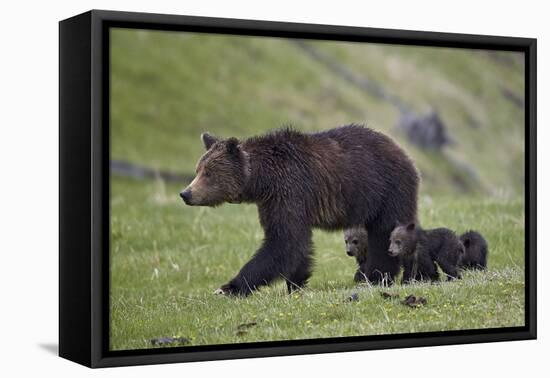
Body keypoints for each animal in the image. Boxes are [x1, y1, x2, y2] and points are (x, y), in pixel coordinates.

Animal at [180, 125, 418, 296]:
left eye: (208, 173)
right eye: (198, 169)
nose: (185, 193)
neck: (261, 180)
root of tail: (403, 151)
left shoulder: (289, 190)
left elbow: (284, 242)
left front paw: (229, 287)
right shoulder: (271, 201)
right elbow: (294, 244)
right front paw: (296, 283)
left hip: (386, 190)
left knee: (385, 233)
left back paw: (378, 276)